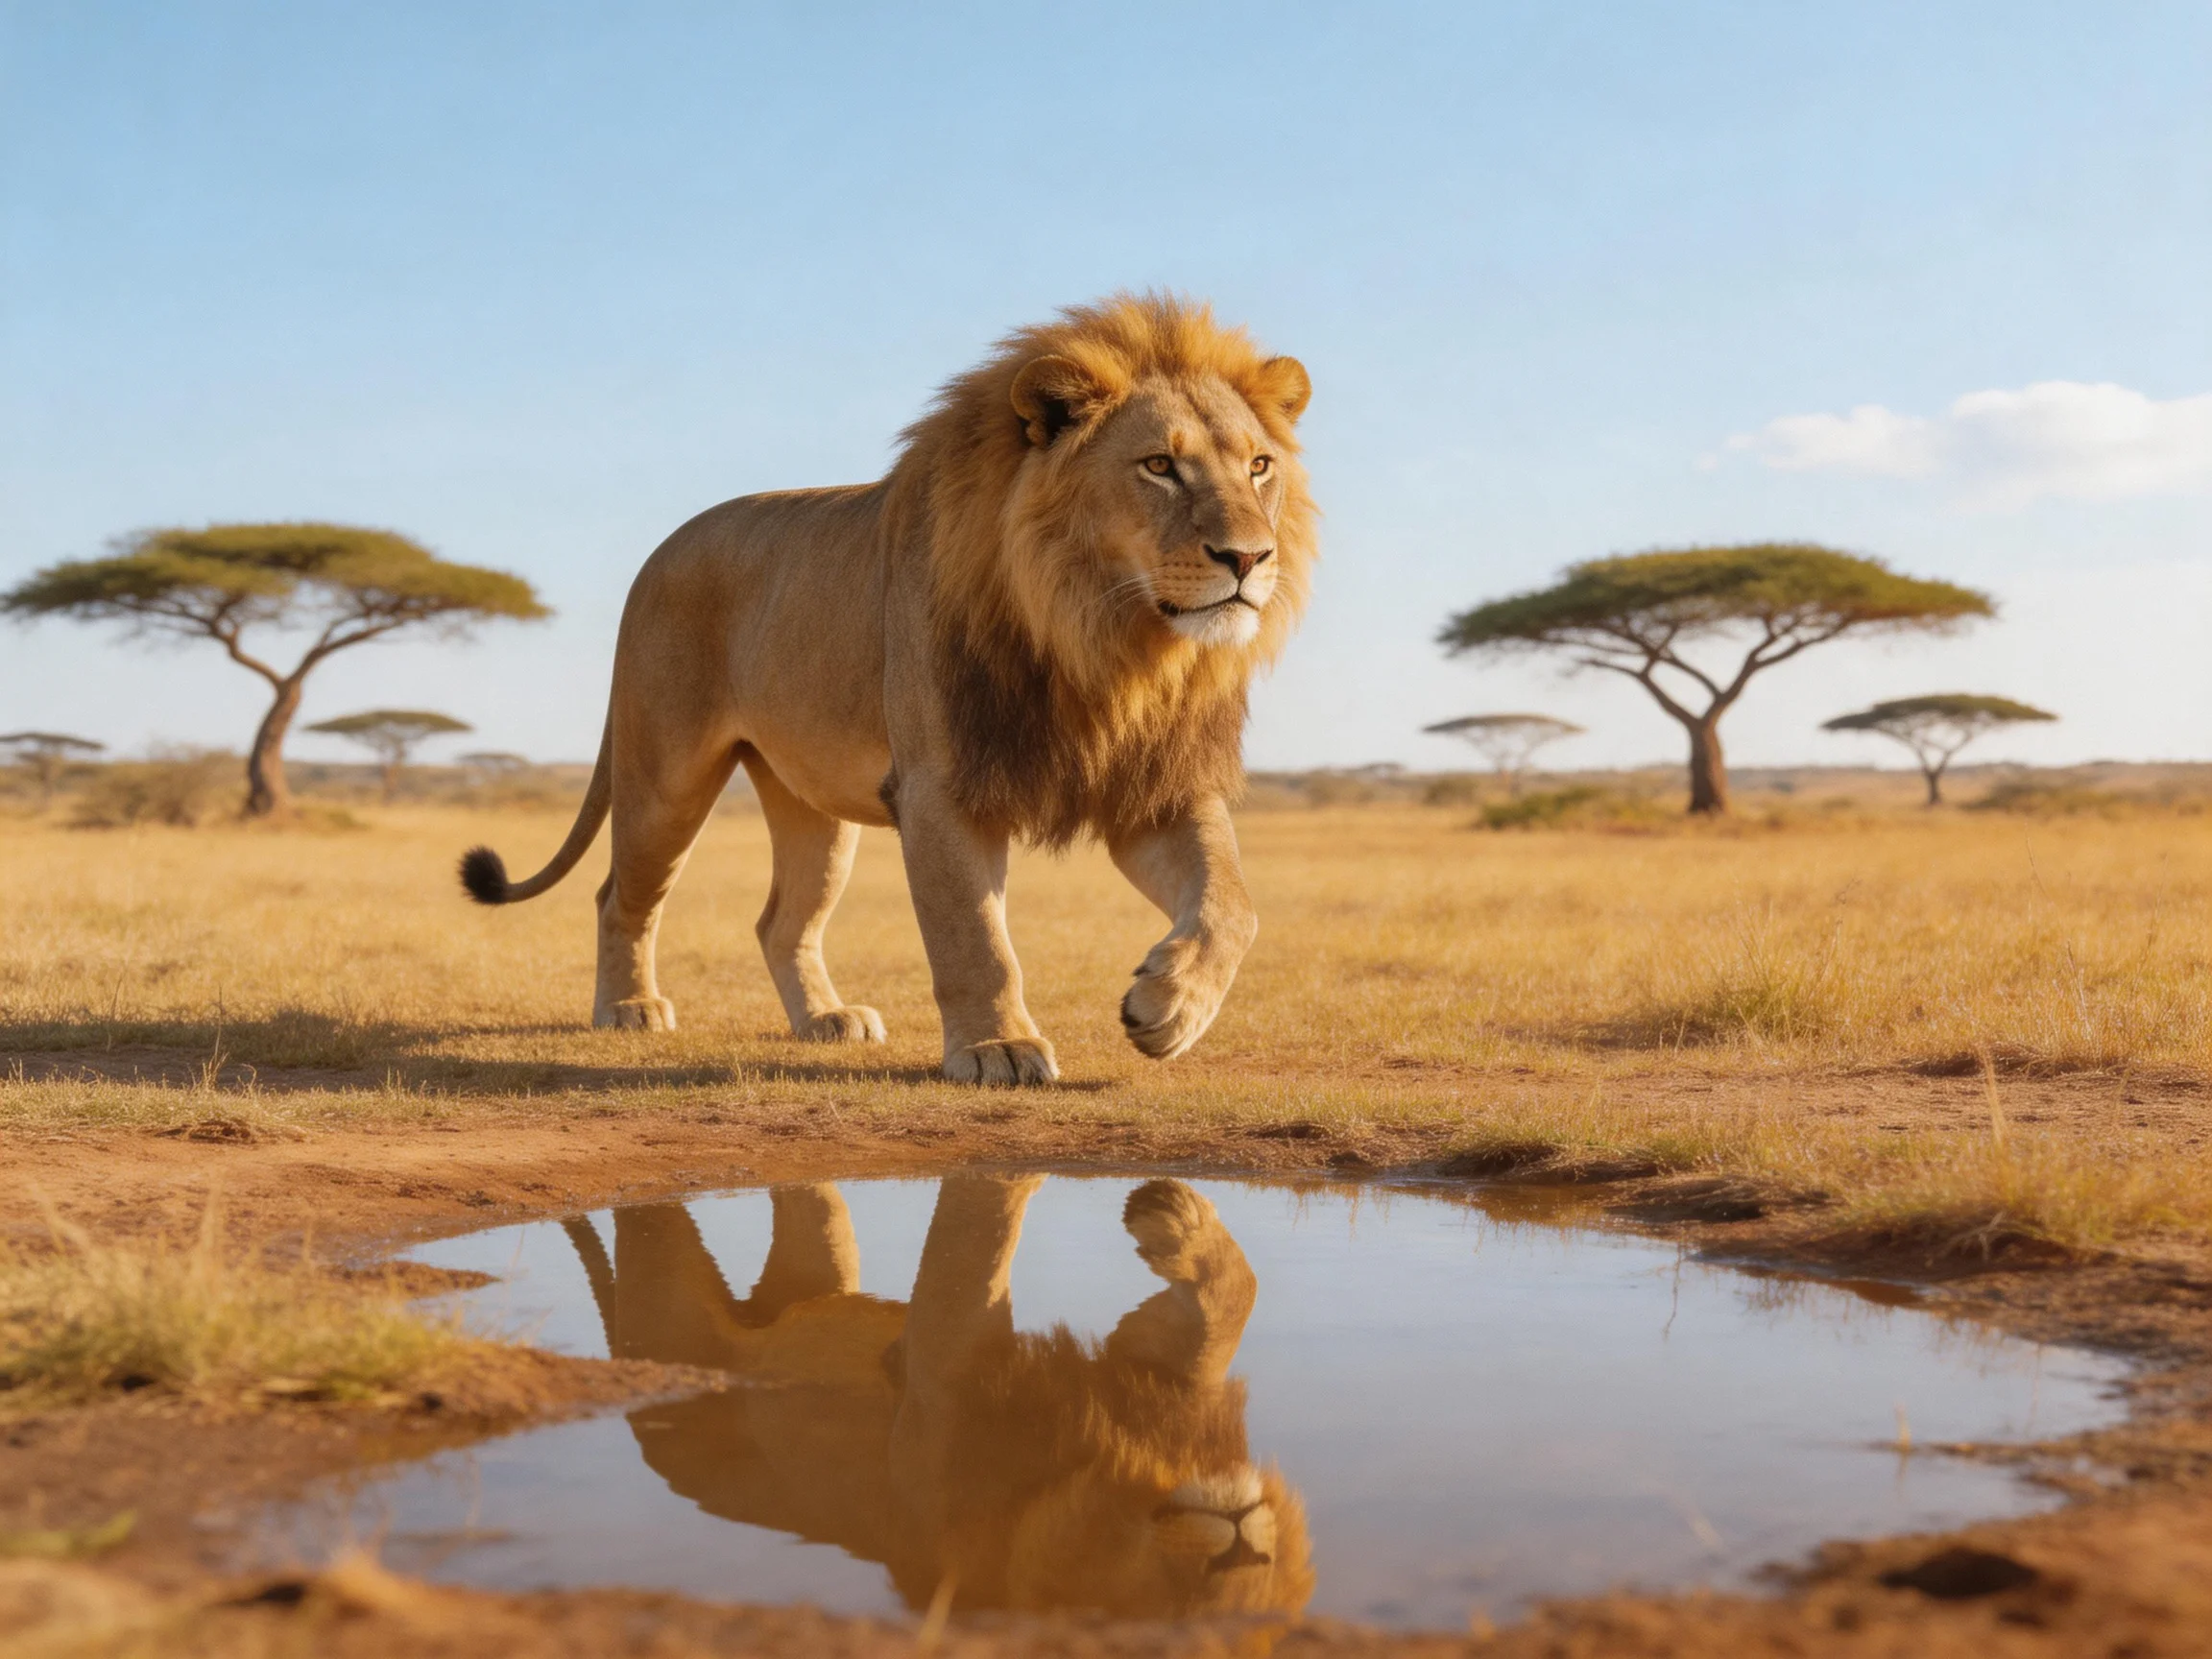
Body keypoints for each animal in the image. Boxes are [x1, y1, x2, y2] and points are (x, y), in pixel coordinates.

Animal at [459, 294, 1315, 1083]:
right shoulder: (942, 785)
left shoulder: (1155, 785)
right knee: (620, 896)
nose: (1249, 558)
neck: (1107, 641)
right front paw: (998, 1049)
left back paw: (825, 1019)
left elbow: (1232, 904)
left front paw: (1168, 1009)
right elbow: (975, 936)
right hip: (664, 777)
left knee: (780, 921)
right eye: (1159, 466)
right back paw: (629, 1007)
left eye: (1258, 467)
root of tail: (660, 550)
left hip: (812, 803)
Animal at [562, 1176, 1313, 1618]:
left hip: (818, 1261)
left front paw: (1173, 1219)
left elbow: (1234, 1297)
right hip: (666, 1296)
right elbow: (978, 1245)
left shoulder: (1149, 1370)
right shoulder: (938, 1378)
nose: (1242, 1552)